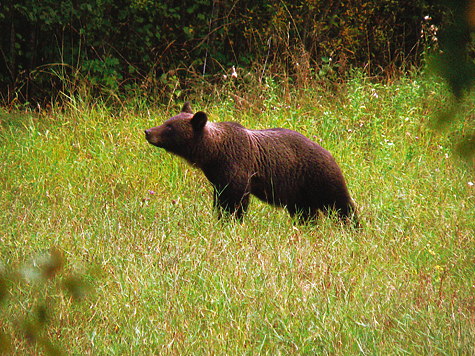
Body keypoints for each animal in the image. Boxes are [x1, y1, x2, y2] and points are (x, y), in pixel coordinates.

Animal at [143, 101, 358, 227]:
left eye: (169, 127)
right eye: (167, 120)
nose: (148, 131)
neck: (213, 153)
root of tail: (328, 151)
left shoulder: (237, 165)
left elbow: (235, 199)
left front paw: (231, 221)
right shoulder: (217, 175)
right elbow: (221, 198)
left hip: (316, 175)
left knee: (340, 203)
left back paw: (353, 226)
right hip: (298, 191)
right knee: (304, 211)